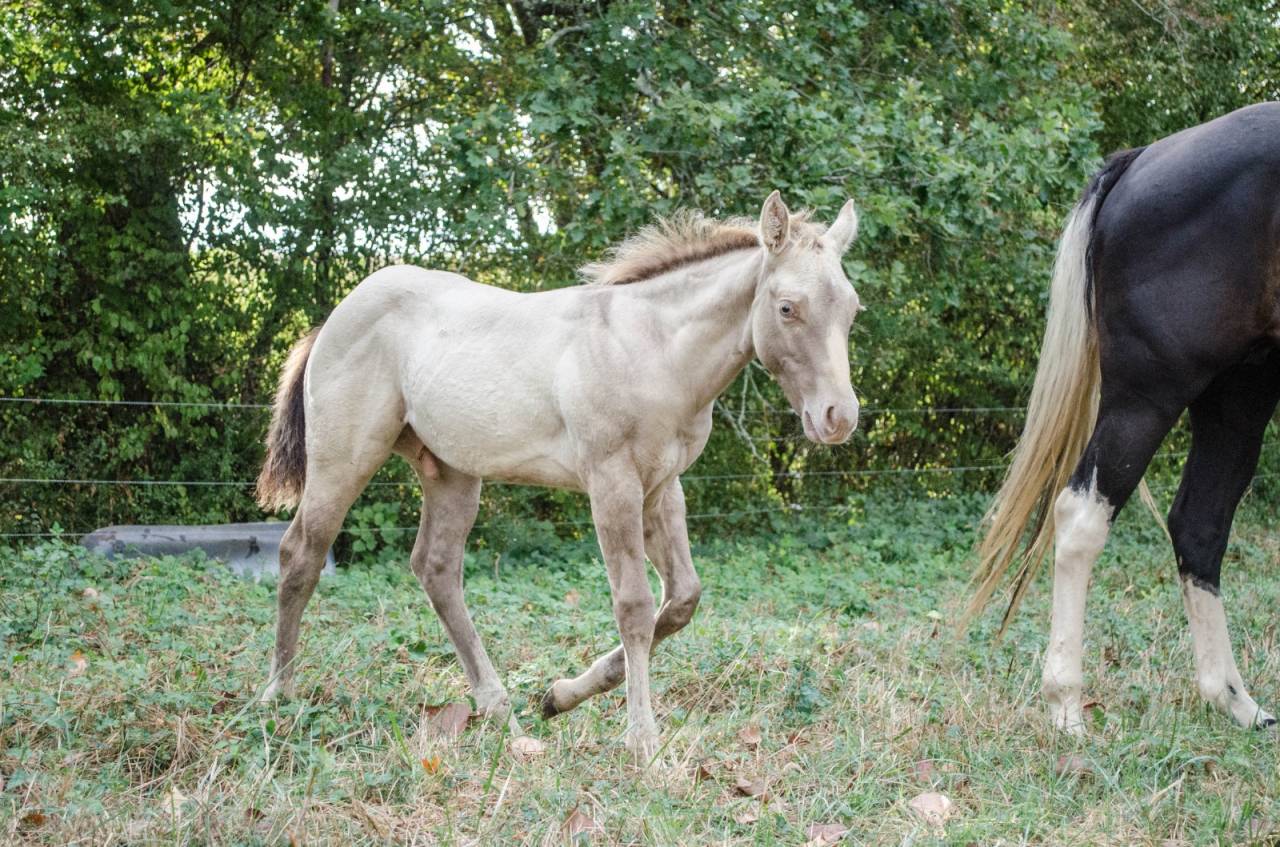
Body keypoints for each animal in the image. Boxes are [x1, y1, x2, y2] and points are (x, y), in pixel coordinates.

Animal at [254, 191, 863, 759]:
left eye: (852, 309)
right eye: (787, 307)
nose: (839, 417)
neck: (651, 349)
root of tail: (335, 317)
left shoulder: (662, 489)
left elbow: (681, 600)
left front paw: (561, 695)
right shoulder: (612, 484)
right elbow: (635, 606)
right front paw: (642, 738)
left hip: (451, 471)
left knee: (436, 569)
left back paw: (498, 707)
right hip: (345, 458)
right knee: (301, 552)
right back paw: (278, 694)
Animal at [965, 102, 1280, 734]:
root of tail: (1139, 161)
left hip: (1241, 392)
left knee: (1201, 525)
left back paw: (1235, 700)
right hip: (1148, 397)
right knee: (1082, 515)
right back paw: (1066, 704)